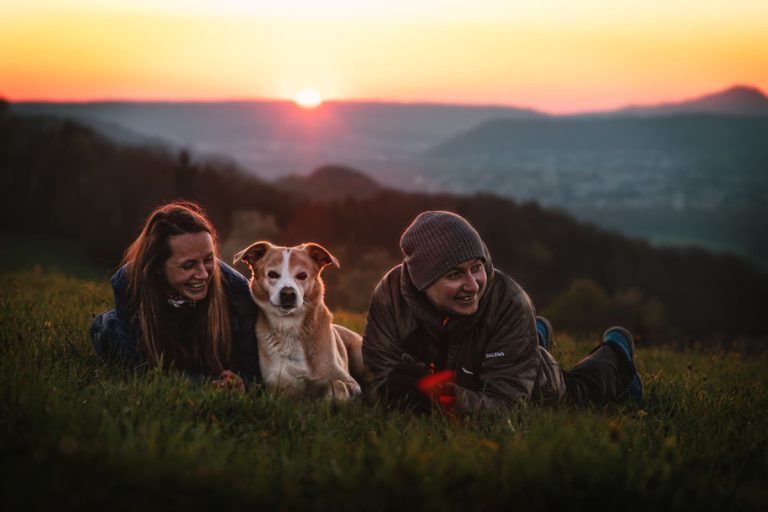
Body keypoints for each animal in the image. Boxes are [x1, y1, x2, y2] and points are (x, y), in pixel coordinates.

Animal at [232, 243, 364, 400]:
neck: (290, 325)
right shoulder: (275, 389)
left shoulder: (350, 383)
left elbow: (337, 385)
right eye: (272, 274)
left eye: (302, 275)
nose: (288, 293)